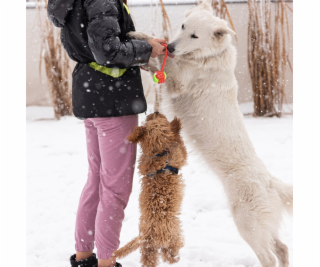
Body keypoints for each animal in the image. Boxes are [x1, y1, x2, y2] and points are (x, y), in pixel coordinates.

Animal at [112, 112, 188, 267]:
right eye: (156, 119)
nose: (156, 112)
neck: (159, 153)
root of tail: (146, 236)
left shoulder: (144, 162)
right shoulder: (178, 156)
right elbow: (181, 148)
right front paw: (176, 127)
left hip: (149, 251)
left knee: (151, 260)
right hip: (173, 239)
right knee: (171, 256)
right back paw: (176, 259)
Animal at [127, 0, 292, 266]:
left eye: (194, 36)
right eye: (183, 26)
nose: (172, 46)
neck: (207, 56)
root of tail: (270, 182)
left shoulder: (179, 80)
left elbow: (164, 61)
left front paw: (148, 43)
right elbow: (158, 59)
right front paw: (142, 40)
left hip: (247, 224)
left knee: (270, 256)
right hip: (263, 228)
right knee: (283, 248)